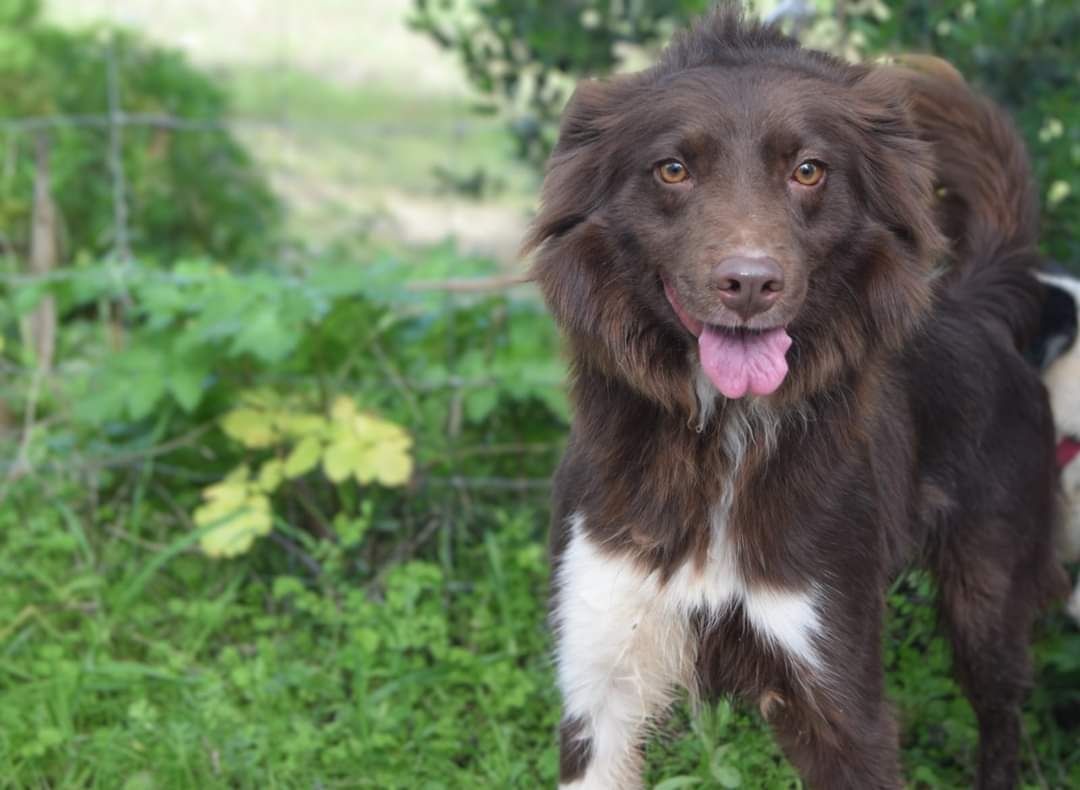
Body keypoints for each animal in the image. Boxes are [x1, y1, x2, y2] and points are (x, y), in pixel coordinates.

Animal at [527, 7, 1067, 790]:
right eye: (673, 169)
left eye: (808, 170)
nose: (750, 285)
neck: (718, 439)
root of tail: (978, 302)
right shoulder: (599, 681)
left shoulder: (837, 693)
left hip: (988, 594)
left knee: (1002, 715)